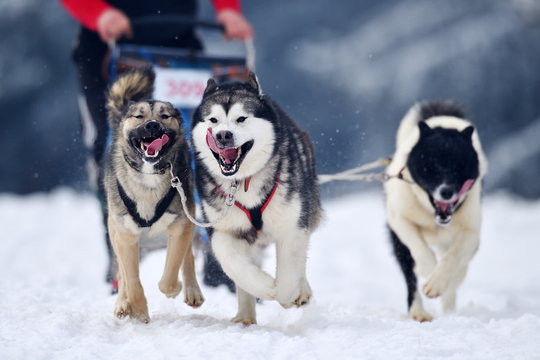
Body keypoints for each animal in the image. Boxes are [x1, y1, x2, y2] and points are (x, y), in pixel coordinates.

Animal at [104, 68, 205, 324]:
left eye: (165, 116)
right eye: (139, 116)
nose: (152, 126)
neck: (149, 176)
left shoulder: (180, 225)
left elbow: (171, 271)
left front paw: (174, 288)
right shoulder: (126, 234)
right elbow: (132, 280)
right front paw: (138, 311)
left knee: (188, 257)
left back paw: (191, 290)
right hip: (115, 230)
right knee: (121, 272)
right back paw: (122, 304)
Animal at [192, 71, 322, 324]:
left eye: (241, 118)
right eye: (213, 120)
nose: (223, 135)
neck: (243, 181)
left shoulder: (292, 226)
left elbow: (290, 269)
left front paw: (286, 294)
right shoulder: (223, 229)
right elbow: (233, 264)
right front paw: (265, 287)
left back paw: (301, 291)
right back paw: (245, 317)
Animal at [384, 100, 490, 322]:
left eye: (459, 166)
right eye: (431, 165)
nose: (446, 192)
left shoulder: (470, 232)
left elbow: (453, 257)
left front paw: (437, 283)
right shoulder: (399, 219)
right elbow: (419, 248)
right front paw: (428, 270)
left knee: (458, 272)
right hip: (400, 246)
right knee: (411, 277)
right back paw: (419, 312)